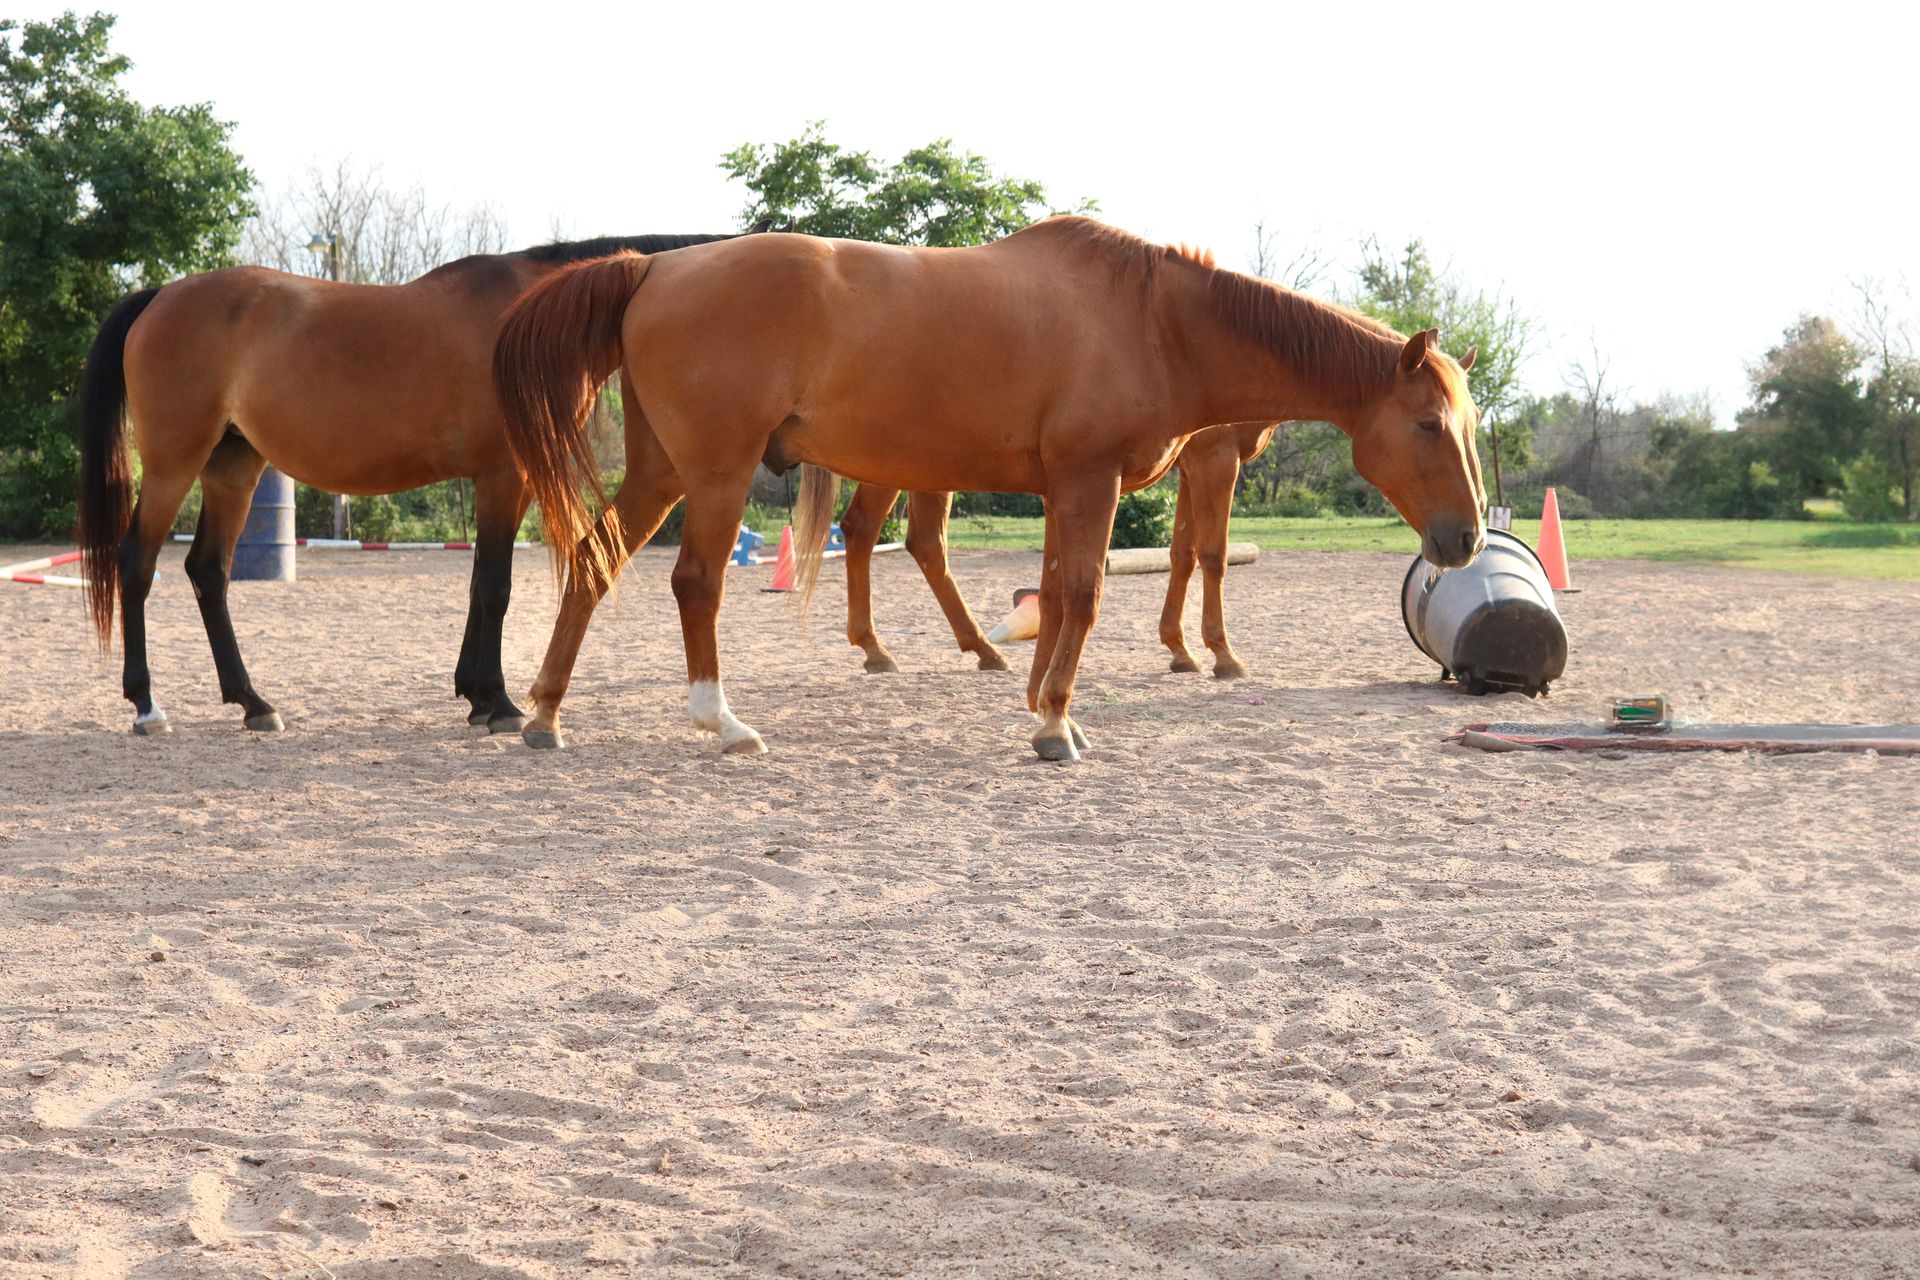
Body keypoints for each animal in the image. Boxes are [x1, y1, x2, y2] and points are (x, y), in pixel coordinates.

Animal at [75, 230, 753, 738]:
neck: (532, 317)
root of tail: (160, 295)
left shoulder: (503, 482)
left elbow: (480, 582)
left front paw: (476, 696)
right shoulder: (503, 475)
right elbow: (496, 587)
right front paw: (500, 704)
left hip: (233, 468)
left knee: (208, 572)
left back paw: (253, 703)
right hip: (173, 464)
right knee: (137, 564)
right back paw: (147, 705)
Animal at [835, 421, 1278, 679]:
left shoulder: (1190, 465)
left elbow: (1182, 555)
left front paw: (1180, 650)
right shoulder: (1215, 456)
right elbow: (1213, 556)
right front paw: (1223, 655)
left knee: (896, 536)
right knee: (880, 532)